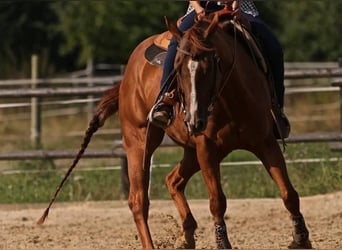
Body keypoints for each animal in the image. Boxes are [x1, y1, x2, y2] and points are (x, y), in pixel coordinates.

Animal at [38, 8, 312, 250]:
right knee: (139, 200)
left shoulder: (265, 142)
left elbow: (289, 193)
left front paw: (301, 239)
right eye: (177, 68)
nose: (193, 120)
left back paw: (186, 236)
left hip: (192, 151)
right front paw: (222, 243)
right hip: (140, 141)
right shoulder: (207, 149)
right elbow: (217, 201)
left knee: (172, 180)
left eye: (211, 65)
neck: (231, 100)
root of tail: (127, 76)